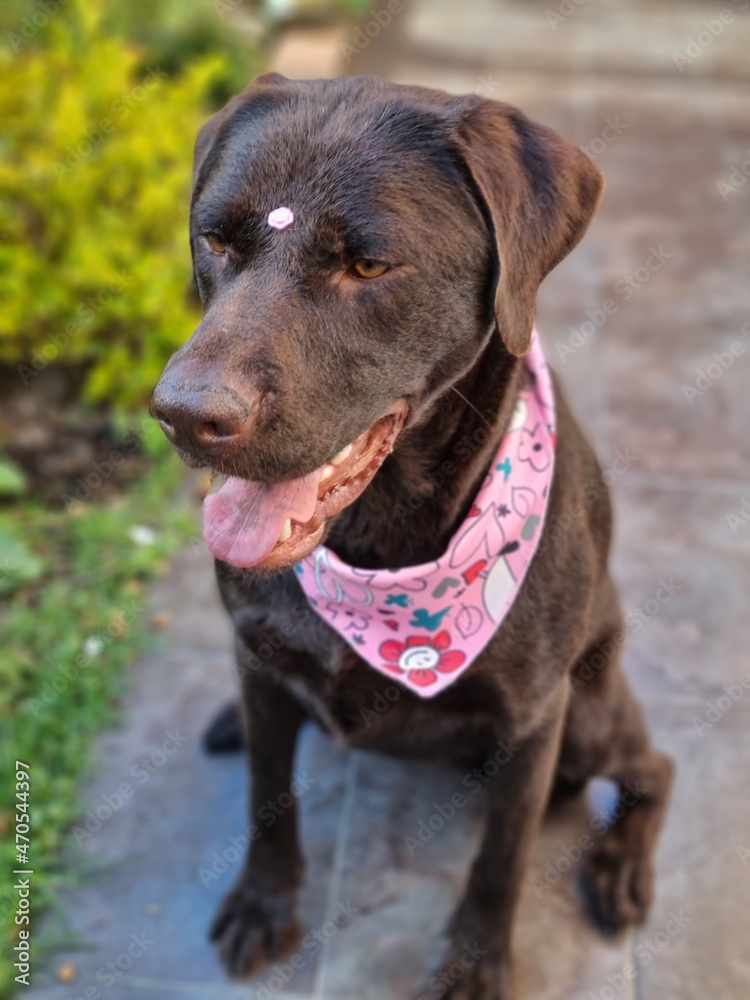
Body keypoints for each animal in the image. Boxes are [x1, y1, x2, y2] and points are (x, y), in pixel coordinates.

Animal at [153, 76, 676, 1000]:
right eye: (215, 240)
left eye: (366, 265)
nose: (183, 414)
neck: (381, 545)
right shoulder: (259, 653)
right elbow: (266, 794)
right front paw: (263, 901)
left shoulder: (534, 719)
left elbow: (501, 860)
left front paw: (474, 963)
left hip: (587, 711)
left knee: (655, 769)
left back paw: (619, 866)